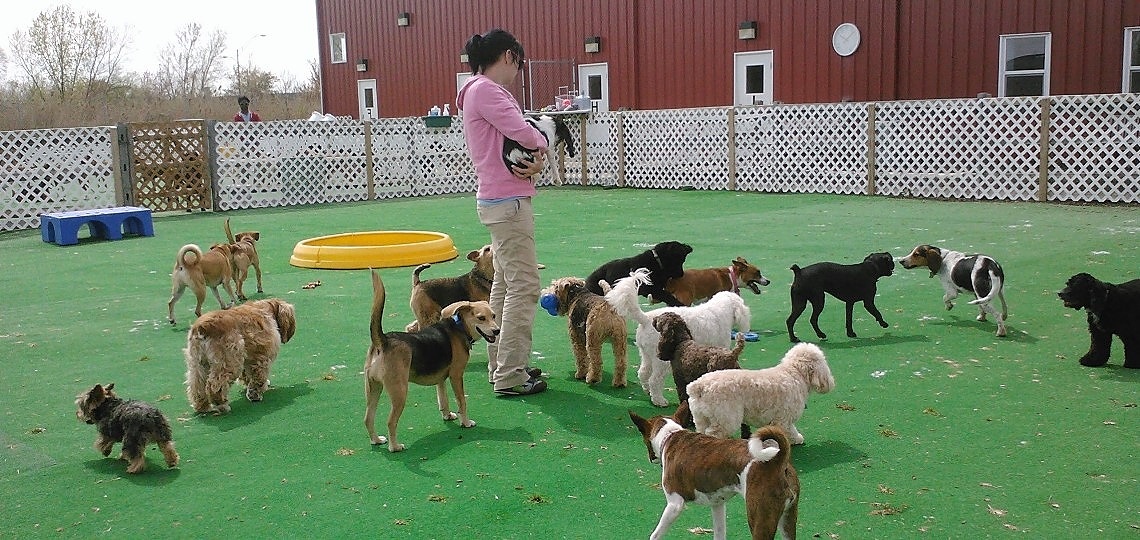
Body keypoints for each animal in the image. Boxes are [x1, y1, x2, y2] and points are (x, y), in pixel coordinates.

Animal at [364, 268, 499, 451]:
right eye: (481, 318)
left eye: (493, 316)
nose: (497, 330)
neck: (459, 327)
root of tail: (383, 341)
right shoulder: (456, 376)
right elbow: (462, 402)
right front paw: (465, 422)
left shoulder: (441, 379)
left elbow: (443, 399)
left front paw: (448, 415)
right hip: (399, 392)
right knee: (390, 422)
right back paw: (395, 447)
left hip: (373, 389)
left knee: (368, 419)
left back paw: (377, 440)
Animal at [601, 267, 752, 407]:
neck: (720, 310)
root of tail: (645, 319)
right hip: (662, 361)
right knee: (654, 380)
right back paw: (659, 400)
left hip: (646, 355)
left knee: (643, 373)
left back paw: (649, 392)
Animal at [629, 401, 798, 540]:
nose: (651, 458)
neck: (671, 436)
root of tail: (778, 461)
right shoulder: (717, 505)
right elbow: (719, 533)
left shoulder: (674, 505)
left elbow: (655, 535)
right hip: (788, 520)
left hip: (760, 519)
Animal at [679, 344, 834, 444]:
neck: (794, 373)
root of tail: (698, 386)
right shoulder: (783, 419)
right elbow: (788, 431)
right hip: (726, 418)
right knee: (713, 434)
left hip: (701, 417)